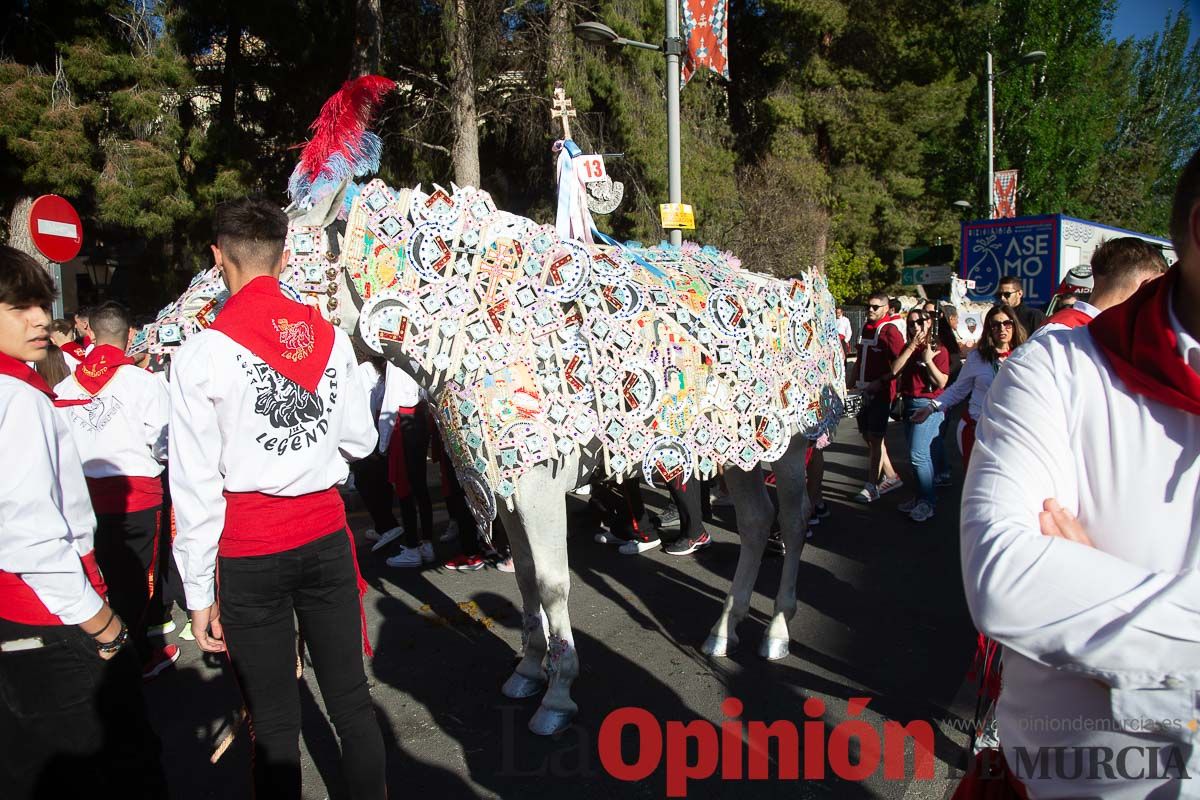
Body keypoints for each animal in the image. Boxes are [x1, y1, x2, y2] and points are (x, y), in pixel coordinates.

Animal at [140, 77, 844, 734]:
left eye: (277, 264)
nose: (159, 337)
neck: (480, 327)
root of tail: (807, 295)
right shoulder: (503, 484)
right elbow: (528, 578)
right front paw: (529, 672)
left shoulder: (539, 481)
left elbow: (554, 582)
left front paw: (559, 695)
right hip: (741, 449)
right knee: (754, 523)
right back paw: (723, 632)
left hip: (788, 446)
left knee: (790, 518)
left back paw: (776, 634)